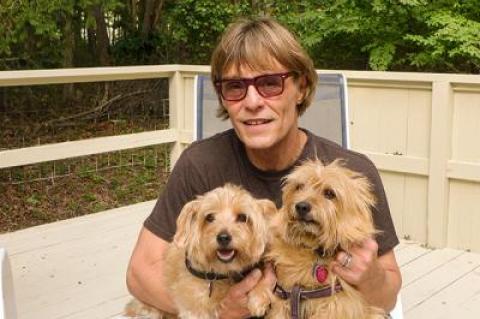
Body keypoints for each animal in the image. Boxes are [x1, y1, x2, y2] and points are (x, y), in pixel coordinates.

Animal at [124, 184, 274, 318]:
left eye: (243, 217)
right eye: (209, 217)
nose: (223, 237)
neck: (221, 273)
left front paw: (258, 297)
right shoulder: (193, 310)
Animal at [266, 160, 386, 319]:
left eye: (329, 193)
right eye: (299, 187)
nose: (301, 206)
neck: (314, 248)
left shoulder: (335, 306)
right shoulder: (283, 299)